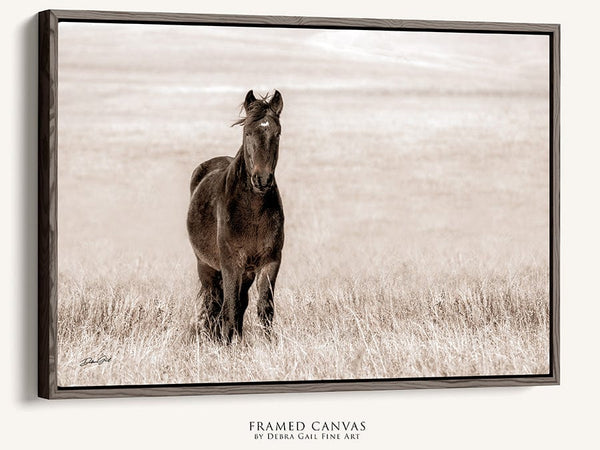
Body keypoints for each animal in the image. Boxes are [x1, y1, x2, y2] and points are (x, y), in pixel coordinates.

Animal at [186, 89, 284, 342]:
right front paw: (229, 342)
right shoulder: (231, 265)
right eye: (247, 132)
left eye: (277, 133)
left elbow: (264, 307)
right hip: (206, 266)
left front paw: (267, 343)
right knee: (214, 302)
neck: (253, 212)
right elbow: (230, 306)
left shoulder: (270, 262)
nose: (262, 180)